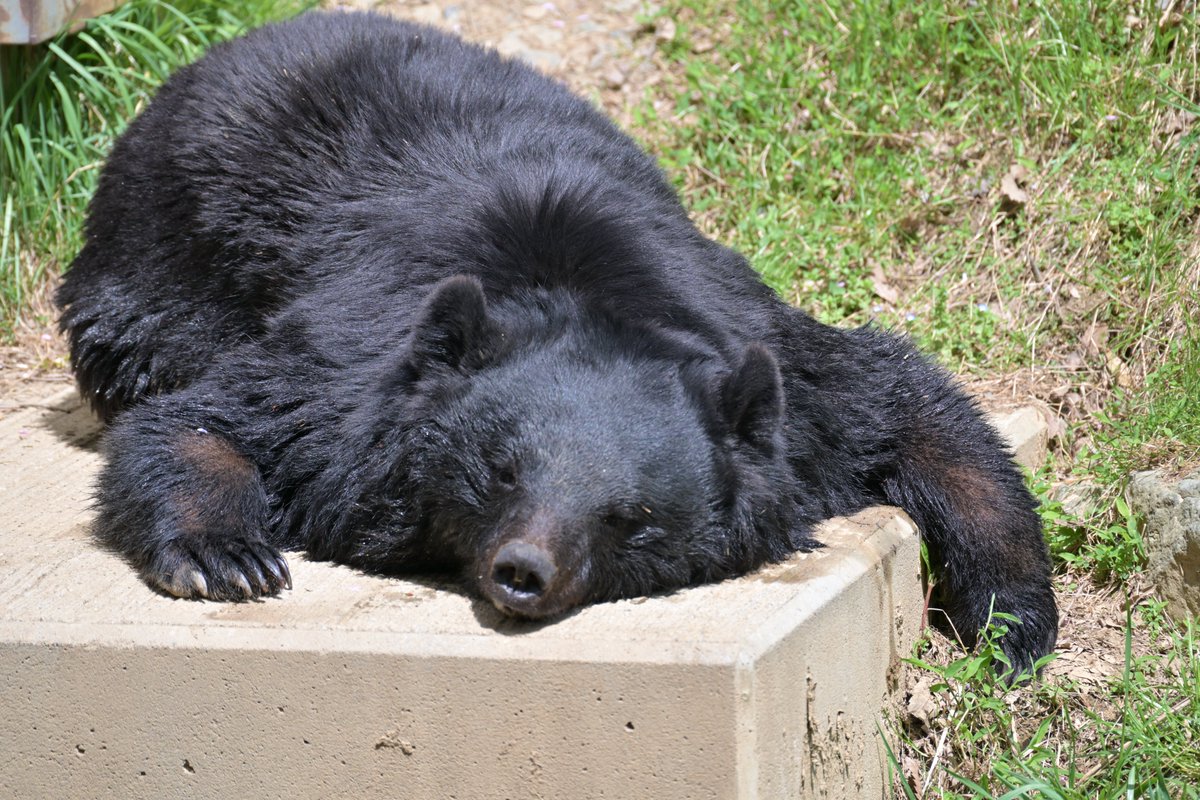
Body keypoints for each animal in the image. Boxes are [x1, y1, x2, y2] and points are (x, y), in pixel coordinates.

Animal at [56, 14, 1056, 676]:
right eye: (498, 472)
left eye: (630, 514)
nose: (523, 574)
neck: (580, 284)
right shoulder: (346, 373)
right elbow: (214, 418)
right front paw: (231, 557)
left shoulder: (774, 367)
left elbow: (909, 408)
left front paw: (1011, 624)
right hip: (153, 265)